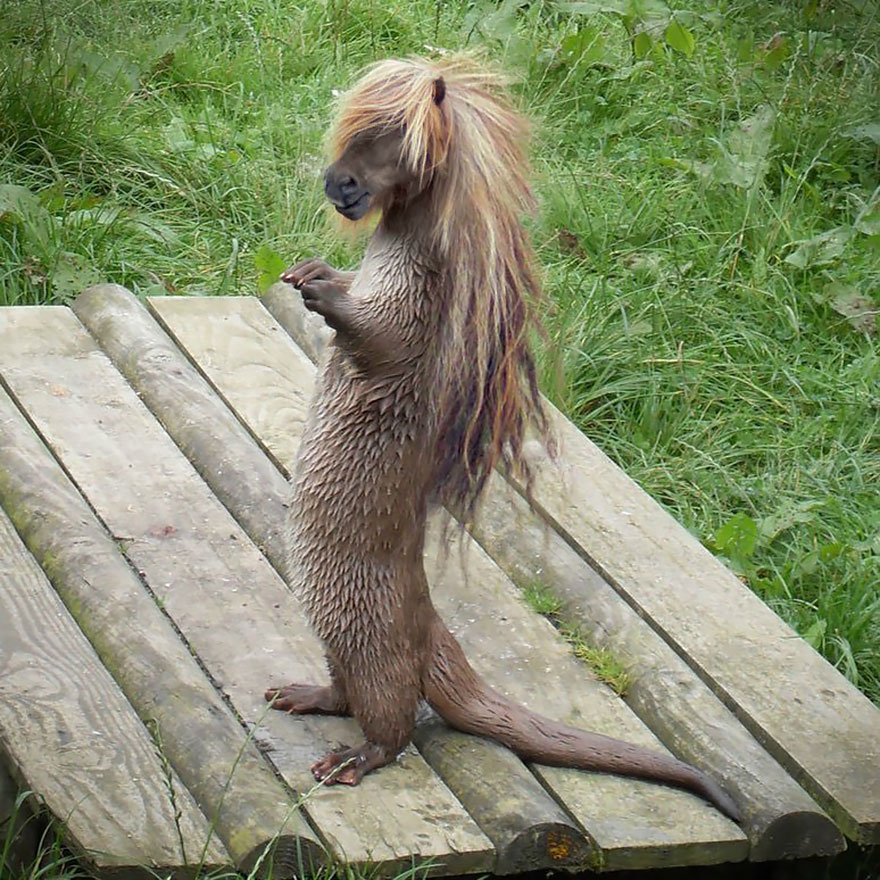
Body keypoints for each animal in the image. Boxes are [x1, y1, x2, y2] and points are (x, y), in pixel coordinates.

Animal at [265, 56, 740, 822]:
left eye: (387, 142)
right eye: (348, 135)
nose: (338, 183)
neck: (402, 256)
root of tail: (431, 630)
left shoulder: (417, 315)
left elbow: (377, 335)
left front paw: (324, 291)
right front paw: (313, 271)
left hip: (369, 632)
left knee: (394, 719)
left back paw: (350, 759)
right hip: (337, 630)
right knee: (347, 689)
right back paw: (301, 693)